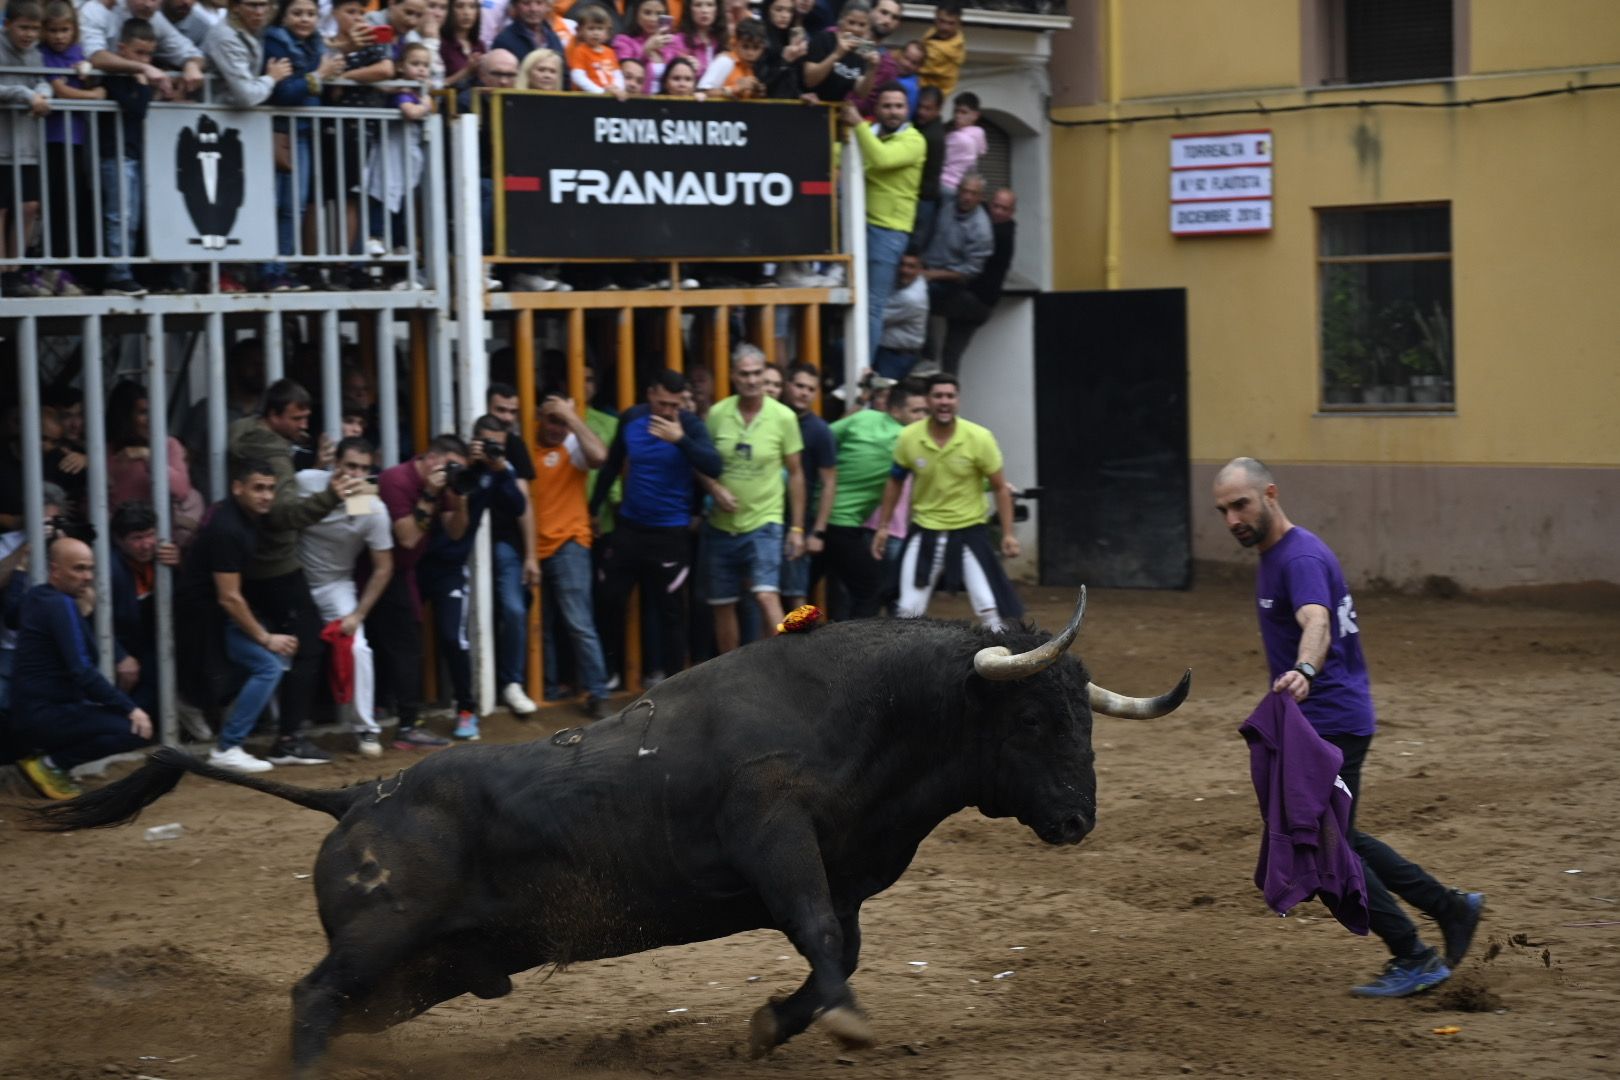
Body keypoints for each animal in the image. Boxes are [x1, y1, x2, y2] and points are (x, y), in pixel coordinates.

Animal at [28, 592, 1192, 1075]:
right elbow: (823, 939)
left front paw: (774, 1025)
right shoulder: (777, 840)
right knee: (313, 998)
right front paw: (836, 1028)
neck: (873, 713)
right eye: (1036, 721)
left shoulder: (836, 878)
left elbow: (838, 953)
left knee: (337, 1008)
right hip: (381, 936)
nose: (1078, 819)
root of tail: (363, 797)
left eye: (1087, 720)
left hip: (432, 970)